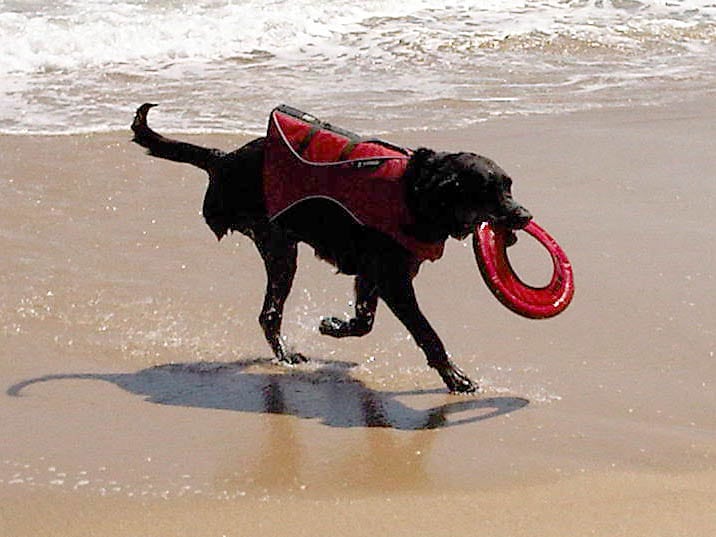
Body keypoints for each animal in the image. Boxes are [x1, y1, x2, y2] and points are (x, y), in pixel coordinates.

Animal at [130, 102, 532, 392]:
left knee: (270, 314)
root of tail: (223, 159)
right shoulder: (393, 281)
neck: (417, 193)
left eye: (509, 186)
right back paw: (286, 356)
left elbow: (364, 321)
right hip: (278, 246)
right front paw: (456, 379)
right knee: (269, 314)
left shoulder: (372, 274)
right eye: (487, 192)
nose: (525, 215)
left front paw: (336, 326)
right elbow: (426, 333)